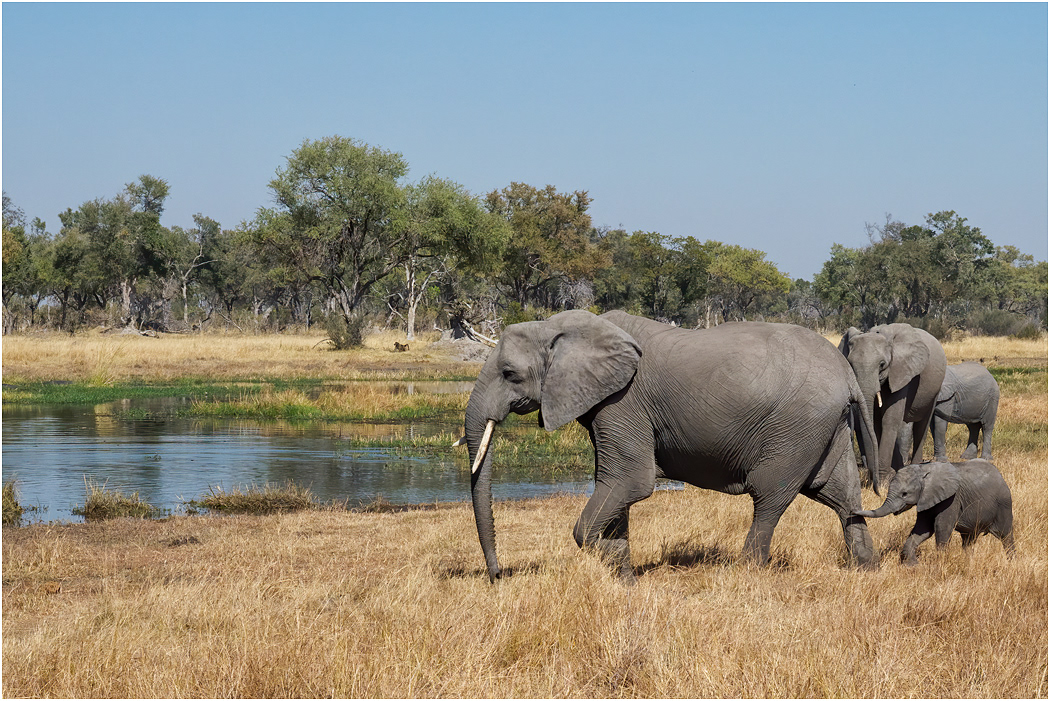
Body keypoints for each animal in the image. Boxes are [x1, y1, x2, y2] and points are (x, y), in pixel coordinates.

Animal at [463, 309, 881, 583]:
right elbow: (615, 486)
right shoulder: (608, 405)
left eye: (509, 374)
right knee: (841, 497)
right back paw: (867, 570)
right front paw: (625, 583)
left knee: (769, 497)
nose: (498, 576)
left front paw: (608, 561)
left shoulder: (624, 401)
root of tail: (845, 372)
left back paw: (747, 574)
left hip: (796, 427)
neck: (559, 326)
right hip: (825, 426)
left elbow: (630, 482)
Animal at [838, 324, 947, 483]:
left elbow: (890, 420)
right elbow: (875, 423)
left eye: (882, 364)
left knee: (922, 425)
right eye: (850, 364)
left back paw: (914, 468)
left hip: (935, 390)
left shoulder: (901, 371)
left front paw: (883, 480)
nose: (873, 481)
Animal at [855, 459, 1014, 564]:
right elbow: (923, 529)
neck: (924, 470)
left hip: (1004, 505)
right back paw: (969, 563)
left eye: (904, 494)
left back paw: (1011, 563)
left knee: (1006, 536)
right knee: (968, 540)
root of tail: (1001, 476)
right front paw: (912, 566)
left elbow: (941, 527)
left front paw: (940, 564)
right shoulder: (926, 498)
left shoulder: (952, 499)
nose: (853, 511)